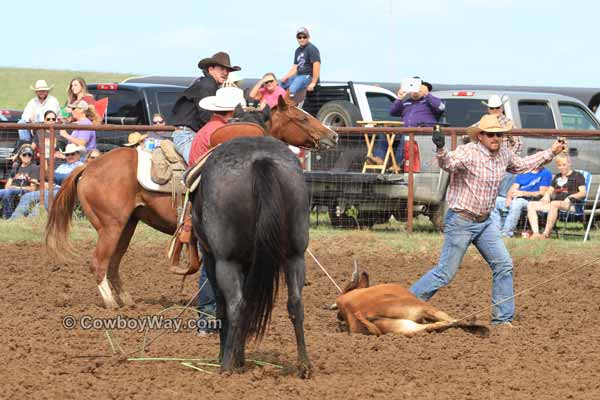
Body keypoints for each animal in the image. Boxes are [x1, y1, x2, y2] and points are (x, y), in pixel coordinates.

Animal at [46, 97, 338, 310]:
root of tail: (88, 167)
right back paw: (111, 304)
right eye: (302, 117)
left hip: (127, 225)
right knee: (98, 262)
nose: (333, 135)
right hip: (111, 226)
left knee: (114, 263)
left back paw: (127, 301)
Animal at [332, 266, 488, 338]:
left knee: (434, 326)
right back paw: (476, 325)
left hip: (406, 326)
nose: (338, 317)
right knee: (451, 320)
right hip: (423, 308)